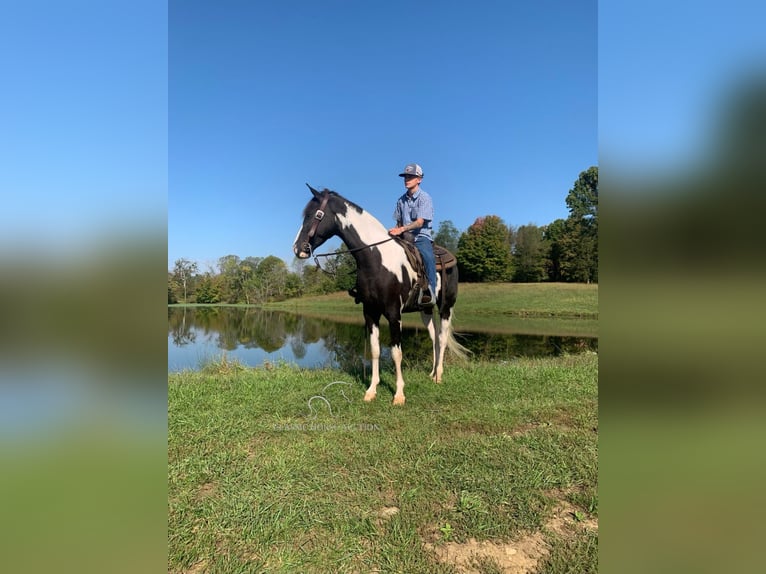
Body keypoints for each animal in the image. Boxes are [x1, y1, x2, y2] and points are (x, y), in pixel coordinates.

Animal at [292, 187, 468, 408]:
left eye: (314, 215)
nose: (298, 248)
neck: (376, 258)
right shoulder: (370, 312)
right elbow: (375, 350)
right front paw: (371, 391)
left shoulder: (394, 314)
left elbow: (396, 353)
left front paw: (399, 394)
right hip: (426, 310)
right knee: (434, 336)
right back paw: (432, 372)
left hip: (446, 307)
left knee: (443, 338)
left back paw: (439, 376)